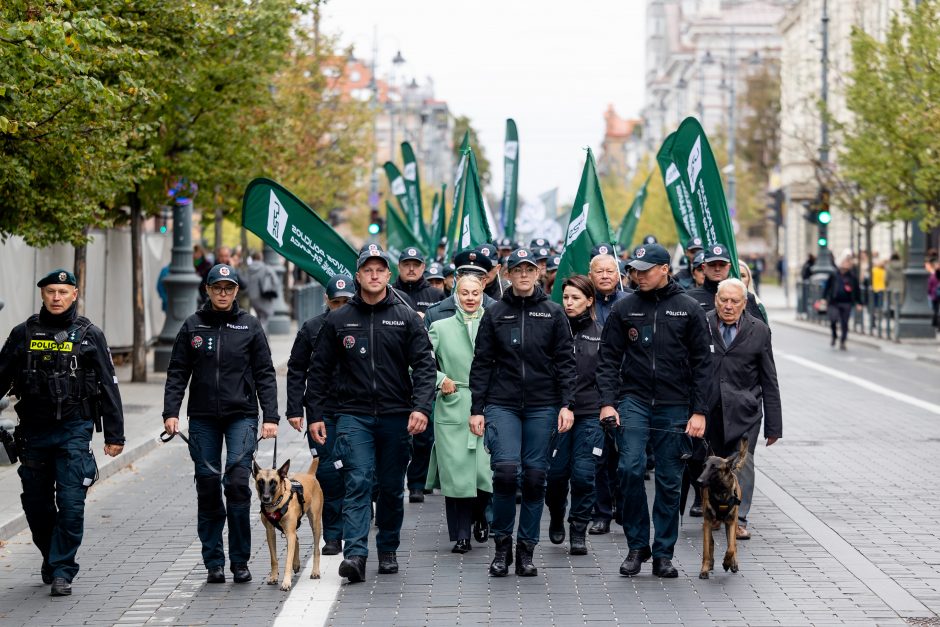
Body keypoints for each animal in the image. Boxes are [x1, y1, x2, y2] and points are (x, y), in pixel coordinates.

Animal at [253, 458, 324, 592]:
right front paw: (274, 577)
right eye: (260, 482)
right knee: (296, 539)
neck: (277, 503)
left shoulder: (289, 532)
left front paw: (286, 582)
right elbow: (273, 558)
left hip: (315, 523)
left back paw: (315, 571)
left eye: (274, 482)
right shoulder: (270, 532)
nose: (265, 498)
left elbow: (287, 561)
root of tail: (310, 475)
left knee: (316, 549)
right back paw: (296, 564)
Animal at [696, 436, 748, 580]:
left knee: (733, 544)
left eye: (715, 468)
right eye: (704, 466)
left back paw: (733, 563)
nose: (699, 481)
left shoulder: (731, 522)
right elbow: (707, 549)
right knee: (711, 543)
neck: (720, 491)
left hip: (732, 522)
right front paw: (704, 569)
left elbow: (731, 547)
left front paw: (727, 562)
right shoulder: (707, 522)